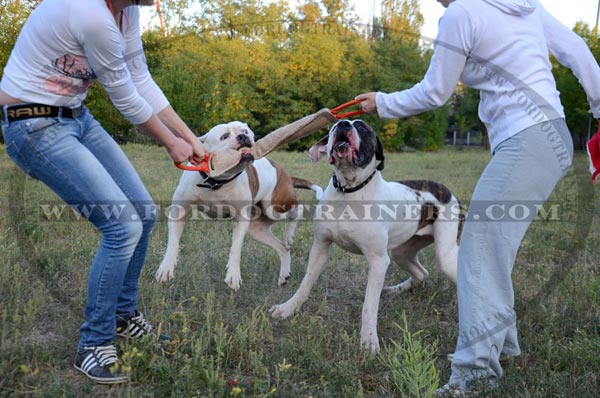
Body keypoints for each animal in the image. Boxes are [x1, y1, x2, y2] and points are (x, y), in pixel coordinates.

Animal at [155, 119, 324, 290]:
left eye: (245, 131)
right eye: (224, 136)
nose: (243, 136)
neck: (217, 182)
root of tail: (283, 172)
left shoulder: (241, 219)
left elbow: (235, 248)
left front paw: (233, 275)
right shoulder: (179, 212)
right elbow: (173, 243)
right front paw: (166, 268)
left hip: (274, 205)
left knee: (299, 208)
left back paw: (289, 234)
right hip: (257, 228)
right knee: (283, 247)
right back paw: (284, 274)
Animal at [270, 118, 464, 352]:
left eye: (362, 127)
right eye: (334, 126)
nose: (344, 123)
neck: (349, 190)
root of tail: (447, 191)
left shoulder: (378, 261)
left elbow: (369, 305)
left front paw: (369, 339)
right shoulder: (320, 247)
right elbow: (305, 284)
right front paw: (288, 308)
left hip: (445, 256)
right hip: (402, 252)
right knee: (421, 272)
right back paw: (396, 290)